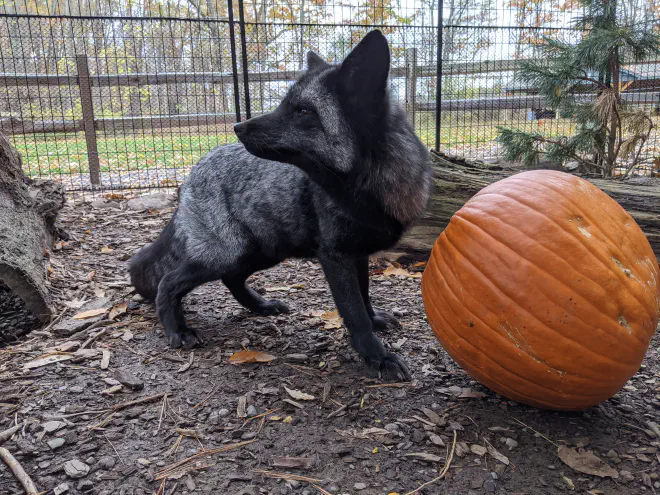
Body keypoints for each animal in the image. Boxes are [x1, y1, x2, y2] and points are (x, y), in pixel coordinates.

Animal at [131, 30, 436, 380]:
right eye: (283, 105)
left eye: (303, 111)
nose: (237, 127)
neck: (366, 189)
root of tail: (195, 169)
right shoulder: (335, 255)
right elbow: (354, 313)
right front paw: (377, 357)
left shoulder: (356, 253)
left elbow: (365, 297)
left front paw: (375, 324)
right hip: (229, 253)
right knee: (168, 283)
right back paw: (177, 330)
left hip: (262, 251)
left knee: (231, 279)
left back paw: (262, 306)